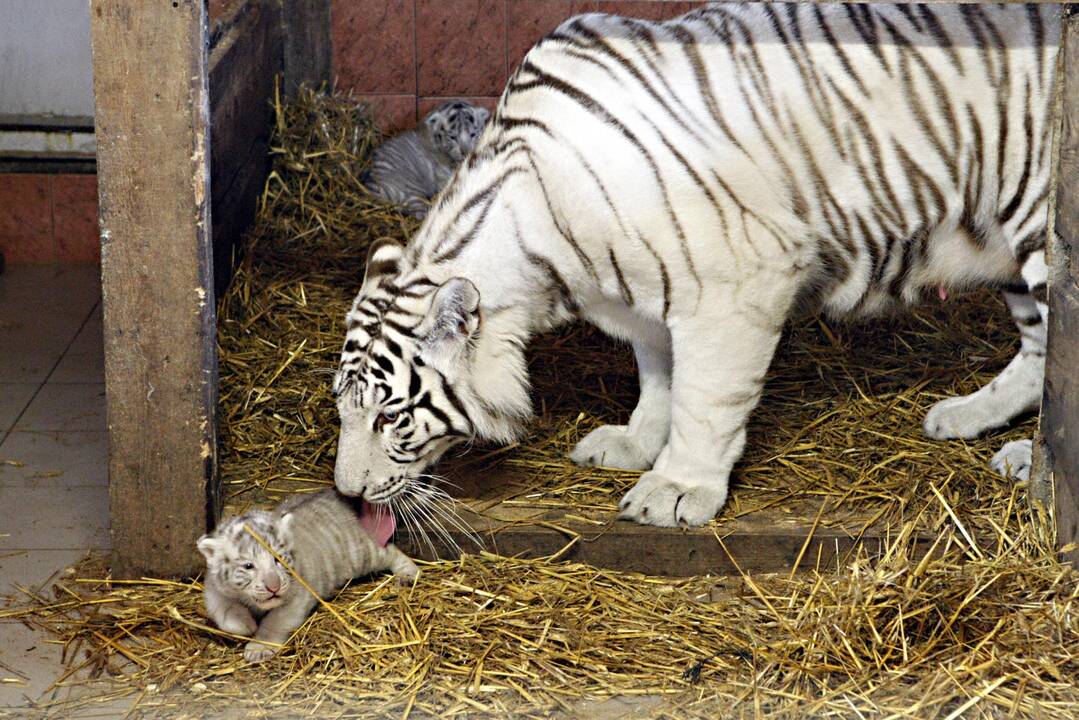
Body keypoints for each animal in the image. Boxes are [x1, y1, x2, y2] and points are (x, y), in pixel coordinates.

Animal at [332, 1, 1057, 528]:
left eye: (390, 417)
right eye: (342, 407)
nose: (348, 494)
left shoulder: (736, 284)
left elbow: (705, 398)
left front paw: (676, 489)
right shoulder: (642, 292)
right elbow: (660, 377)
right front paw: (634, 442)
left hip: (1039, 225)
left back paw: (1029, 460)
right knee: (1037, 350)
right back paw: (966, 417)